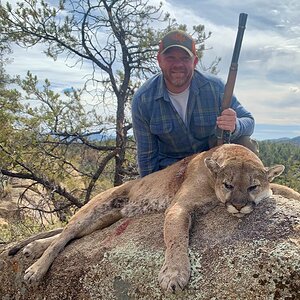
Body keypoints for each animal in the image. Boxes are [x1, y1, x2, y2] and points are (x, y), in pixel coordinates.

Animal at [7, 144, 300, 292]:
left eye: (253, 187)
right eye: (228, 185)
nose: (238, 207)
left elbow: (285, 189)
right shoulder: (179, 206)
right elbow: (176, 238)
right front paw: (174, 274)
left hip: (104, 220)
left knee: (70, 235)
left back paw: (33, 247)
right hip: (94, 208)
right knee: (65, 234)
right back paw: (35, 267)